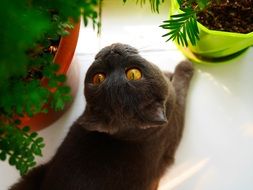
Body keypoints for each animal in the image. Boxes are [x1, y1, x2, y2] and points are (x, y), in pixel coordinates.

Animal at [8, 43, 193, 190]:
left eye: (133, 74)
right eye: (98, 77)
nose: (112, 54)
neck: (129, 137)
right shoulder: (173, 123)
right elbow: (179, 89)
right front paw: (185, 65)